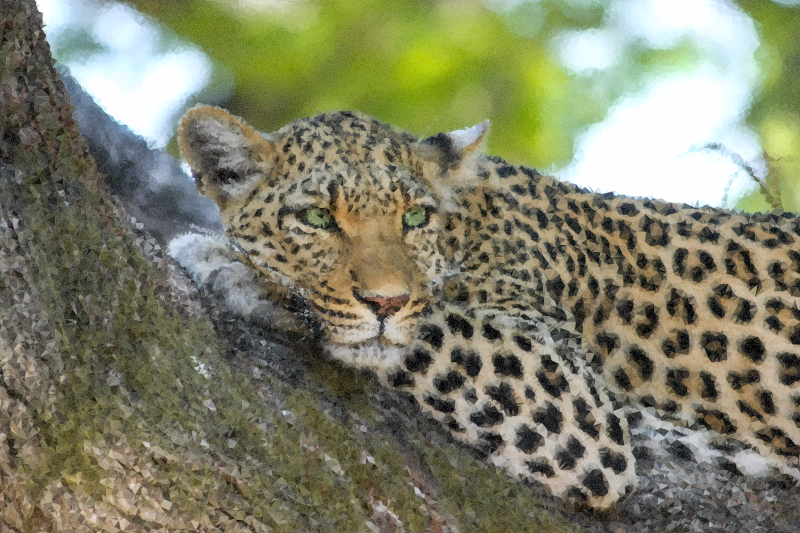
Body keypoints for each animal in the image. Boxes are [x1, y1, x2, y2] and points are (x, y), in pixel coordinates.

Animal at [170, 104, 800, 510]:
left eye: (414, 217)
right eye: (317, 218)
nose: (385, 300)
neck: (466, 227)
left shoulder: (574, 402)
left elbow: (433, 327)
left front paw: (232, 266)